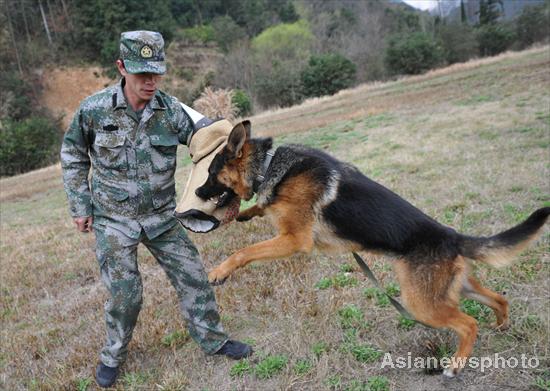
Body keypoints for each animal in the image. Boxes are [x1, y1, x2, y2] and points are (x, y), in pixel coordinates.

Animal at [196, 121, 548, 378]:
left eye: (211, 174)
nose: (198, 193)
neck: (268, 166)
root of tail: (451, 236)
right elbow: (260, 210)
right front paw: (248, 212)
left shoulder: (294, 240)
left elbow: (245, 251)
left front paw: (219, 271)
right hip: (453, 288)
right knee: (498, 299)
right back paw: (501, 325)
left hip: (421, 304)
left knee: (468, 323)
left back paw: (456, 365)